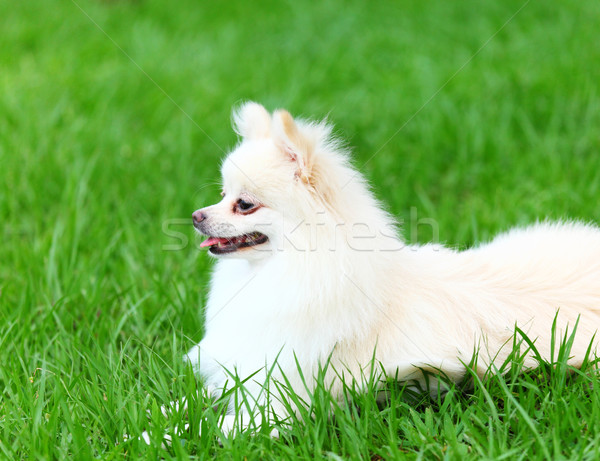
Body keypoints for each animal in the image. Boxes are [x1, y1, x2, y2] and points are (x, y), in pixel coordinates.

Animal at [185, 102, 600, 436]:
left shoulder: (281, 400)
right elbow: (193, 400)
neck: (296, 267)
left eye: (244, 204)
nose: (196, 216)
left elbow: (213, 428)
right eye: (222, 194)